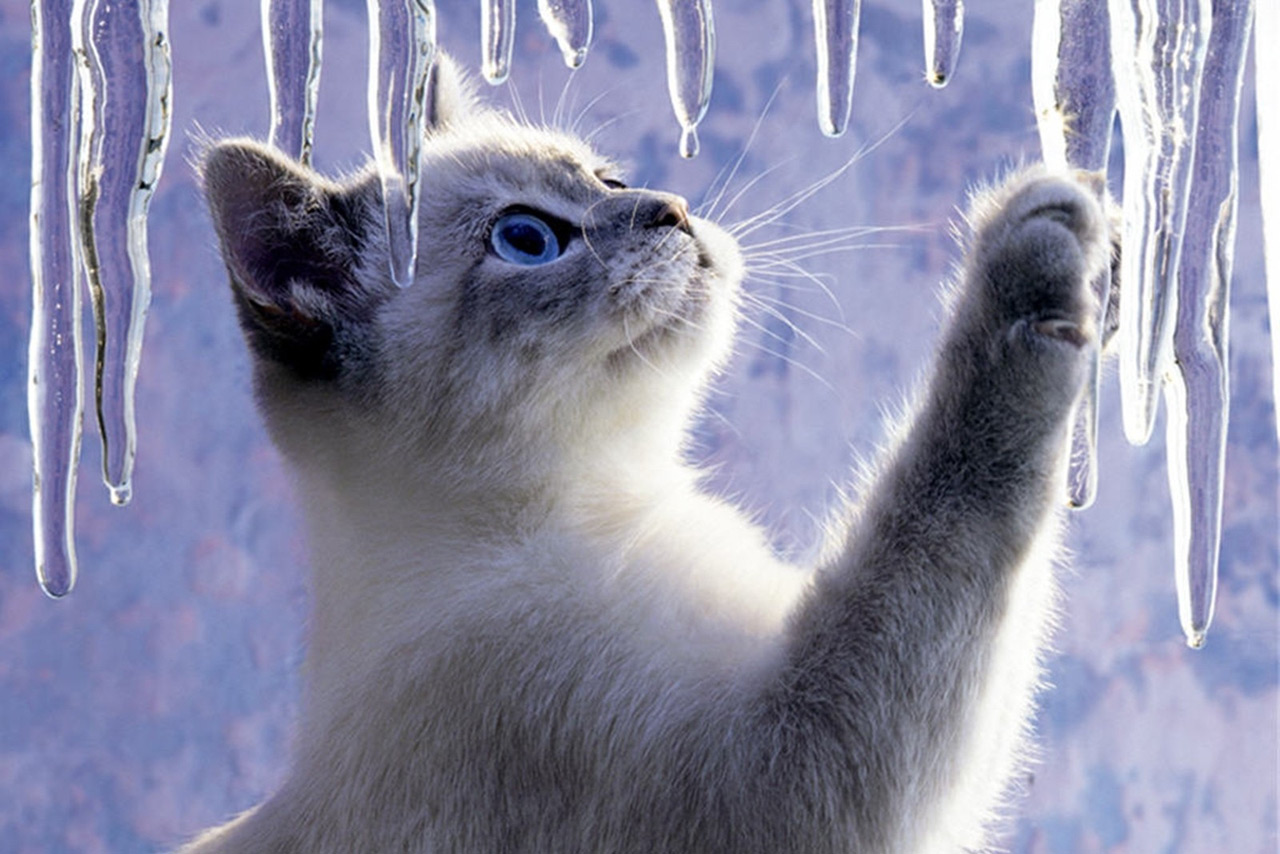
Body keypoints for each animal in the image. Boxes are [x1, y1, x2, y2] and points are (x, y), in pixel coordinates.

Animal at [185, 56, 1116, 850]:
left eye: (609, 181)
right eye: (527, 239)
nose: (671, 209)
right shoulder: (785, 769)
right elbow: (951, 495)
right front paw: (1039, 241)